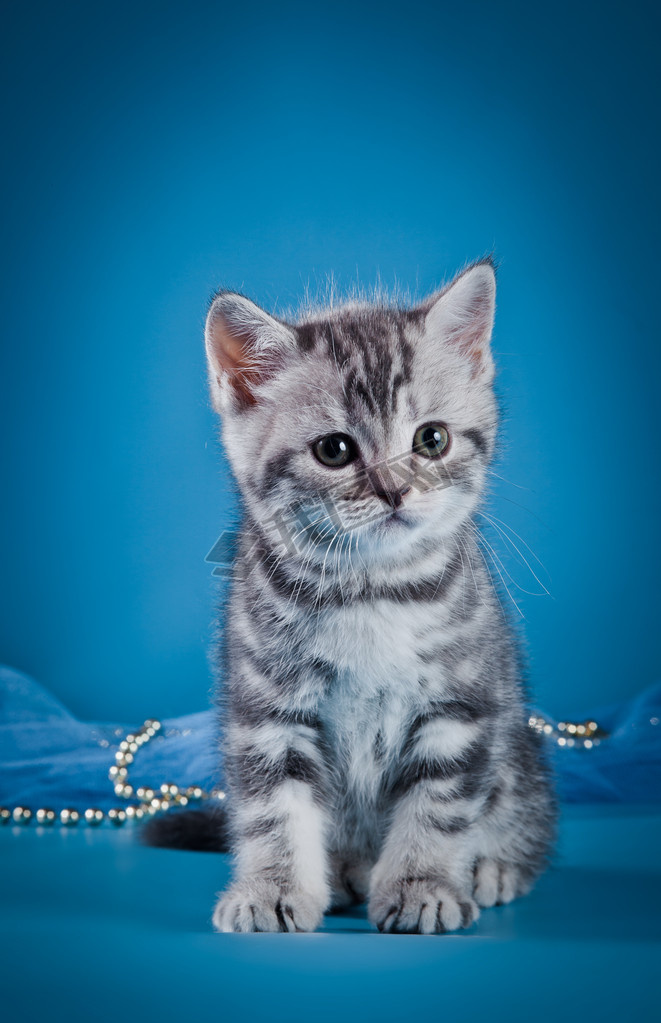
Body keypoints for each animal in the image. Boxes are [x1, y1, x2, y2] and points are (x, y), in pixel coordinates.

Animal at [146, 257, 560, 937]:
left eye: (432, 440)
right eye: (334, 450)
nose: (395, 490)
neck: (370, 589)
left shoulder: (460, 706)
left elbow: (438, 805)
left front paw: (423, 887)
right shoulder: (266, 709)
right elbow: (273, 810)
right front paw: (271, 889)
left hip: (520, 759)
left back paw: (493, 868)